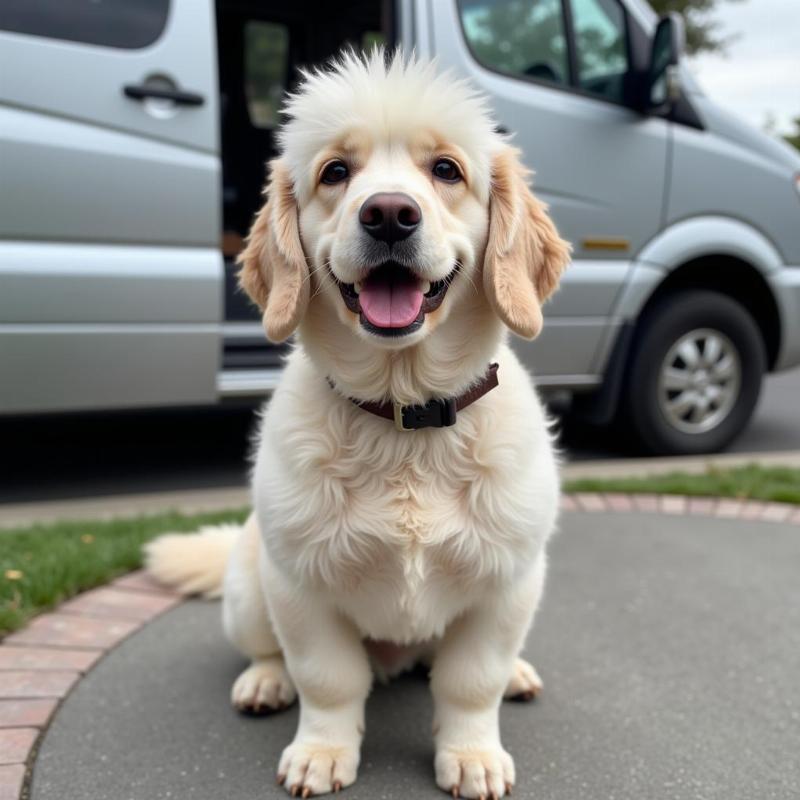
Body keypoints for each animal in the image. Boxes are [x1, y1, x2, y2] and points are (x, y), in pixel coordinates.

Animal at [147, 51, 572, 800]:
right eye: (335, 172)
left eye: (446, 170)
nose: (389, 215)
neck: (406, 419)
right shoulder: (300, 586)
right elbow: (327, 678)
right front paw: (321, 751)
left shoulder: (507, 584)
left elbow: (471, 681)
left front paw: (472, 754)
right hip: (249, 586)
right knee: (266, 651)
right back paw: (263, 682)